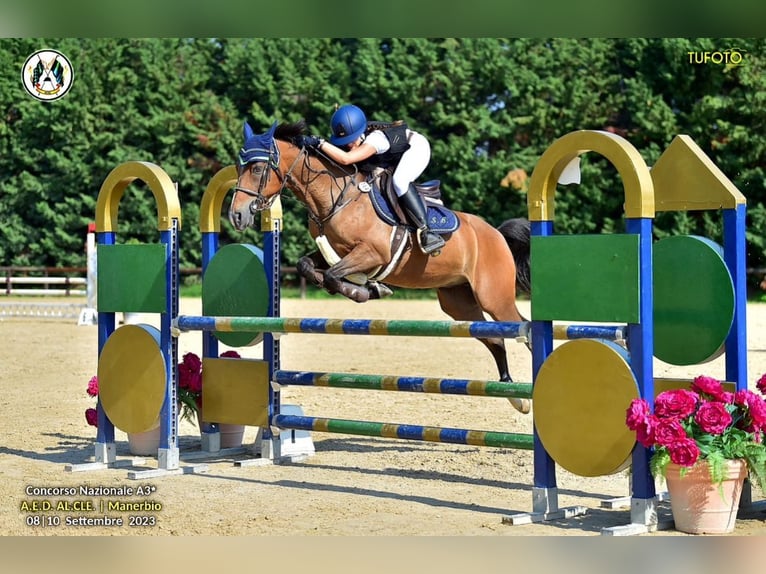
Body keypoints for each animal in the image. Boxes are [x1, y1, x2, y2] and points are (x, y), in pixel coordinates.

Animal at [231, 120, 536, 414]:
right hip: (459, 303)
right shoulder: (335, 252)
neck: (336, 197)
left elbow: (332, 275)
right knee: (494, 338)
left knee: (521, 327)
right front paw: (368, 286)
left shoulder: (373, 253)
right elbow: (308, 266)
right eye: (239, 166)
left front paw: (366, 290)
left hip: (493, 296)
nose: (237, 216)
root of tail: (496, 234)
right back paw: (514, 396)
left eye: (257, 168)